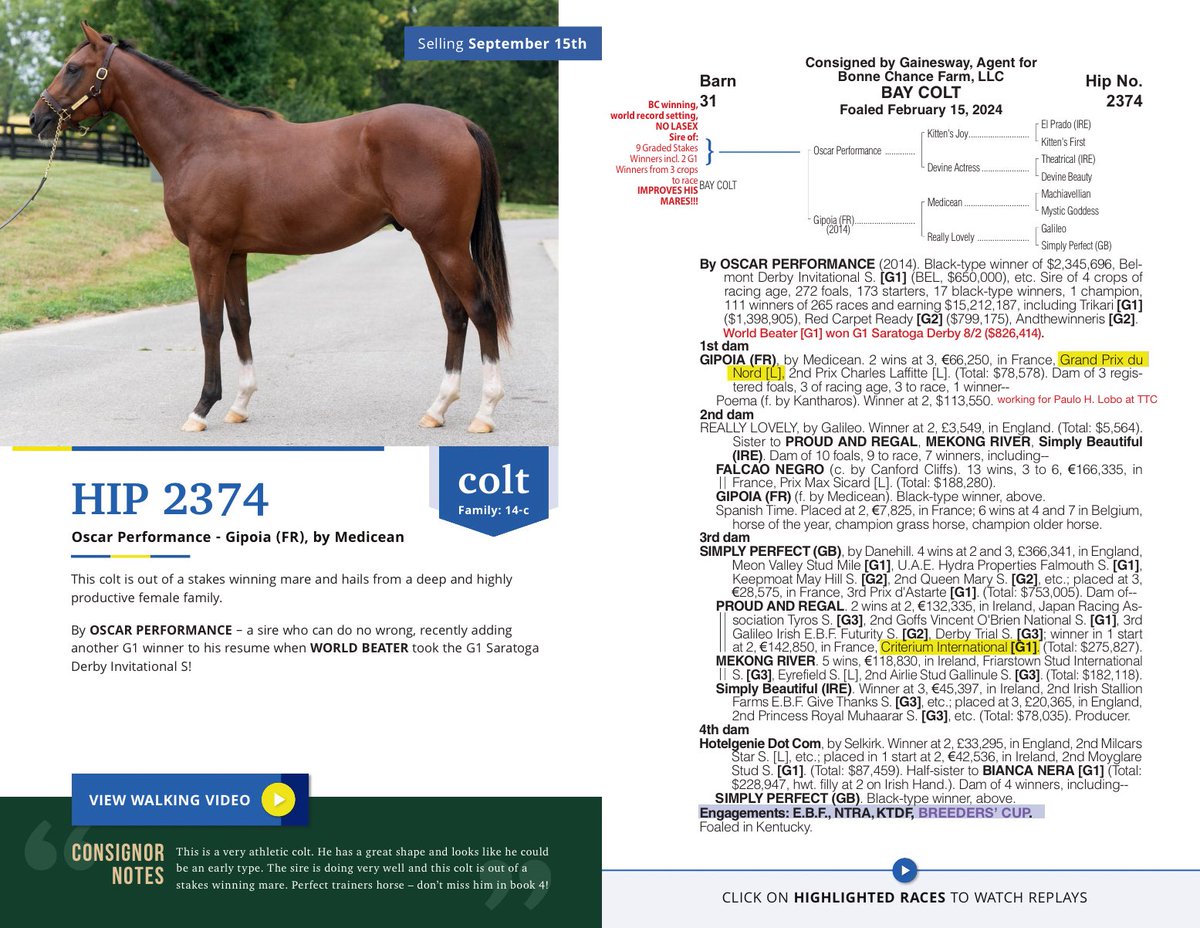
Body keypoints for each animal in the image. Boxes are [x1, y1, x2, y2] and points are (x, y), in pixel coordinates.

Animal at [30, 22, 511, 434]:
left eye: (73, 68)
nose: (37, 119)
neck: (199, 141)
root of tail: (460, 124)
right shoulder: (234, 252)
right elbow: (240, 319)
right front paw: (239, 404)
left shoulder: (205, 249)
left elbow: (209, 323)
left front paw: (202, 408)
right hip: (431, 245)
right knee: (454, 314)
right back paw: (437, 409)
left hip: (446, 246)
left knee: (481, 308)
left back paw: (485, 412)